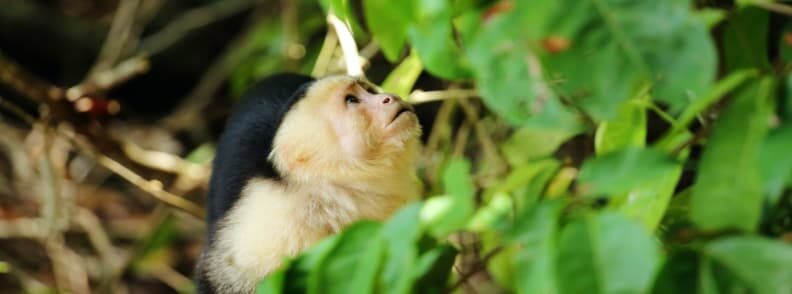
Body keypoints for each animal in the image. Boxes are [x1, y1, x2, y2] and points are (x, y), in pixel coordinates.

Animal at [196, 73, 424, 292]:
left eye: (369, 91)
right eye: (352, 100)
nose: (389, 97)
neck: (331, 189)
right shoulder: (276, 218)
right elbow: (222, 279)